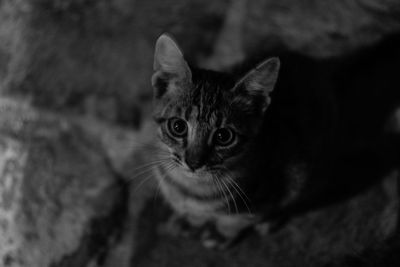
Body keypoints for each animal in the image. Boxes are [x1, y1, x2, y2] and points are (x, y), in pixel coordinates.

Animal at [149, 33, 400, 249]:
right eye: (178, 126)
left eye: (223, 136)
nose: (194, 163)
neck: (191, 189)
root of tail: (320, 65)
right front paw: (189, 221)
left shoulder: (280, 183)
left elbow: (238, 219)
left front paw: (220, 233)